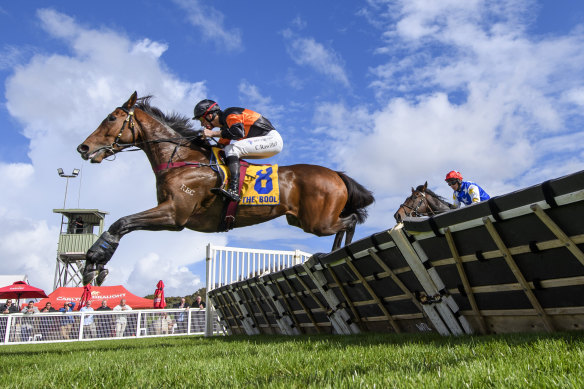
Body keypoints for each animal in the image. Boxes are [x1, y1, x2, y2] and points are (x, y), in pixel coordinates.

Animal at [76, 92, 374, 284]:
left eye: (111, 118)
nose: (83, 148)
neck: (182, 159)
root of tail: (336, 174)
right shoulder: (171, 212)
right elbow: (123, 224)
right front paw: (94, 264)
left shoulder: (175, 215)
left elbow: (122, 223)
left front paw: (94, 262)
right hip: (304, 220)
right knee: (346, 222)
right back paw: (333, 253)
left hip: (318, 222)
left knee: (349, 221)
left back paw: (337, 253)